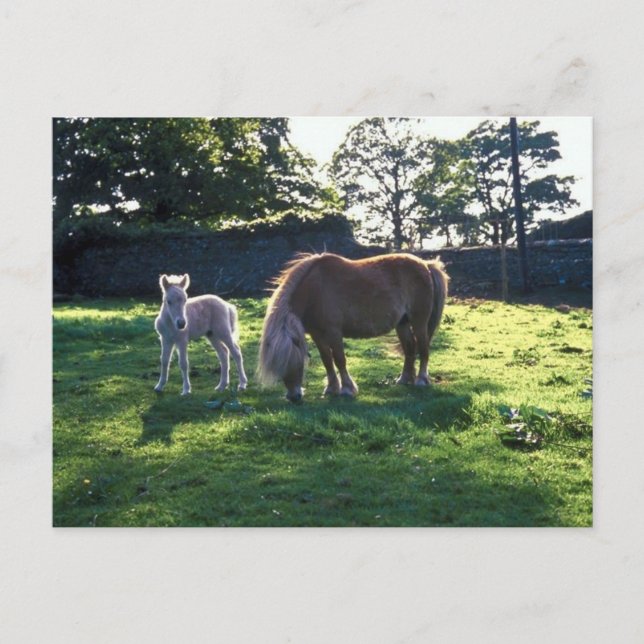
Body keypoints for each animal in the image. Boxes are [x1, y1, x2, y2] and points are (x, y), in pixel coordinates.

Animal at [258, 253, 449, 402]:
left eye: (295, 362)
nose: (294, 397)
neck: (314, 290)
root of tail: (426, 265)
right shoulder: (317, 335)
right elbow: (327, 360)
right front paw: (331, 388)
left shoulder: (334, 333)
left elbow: (339, 360)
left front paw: (347, 389)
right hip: (402, 324)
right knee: (409, 348)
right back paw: (404, 379)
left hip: (419, 322)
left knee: (423, 349)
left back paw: (421, 380)